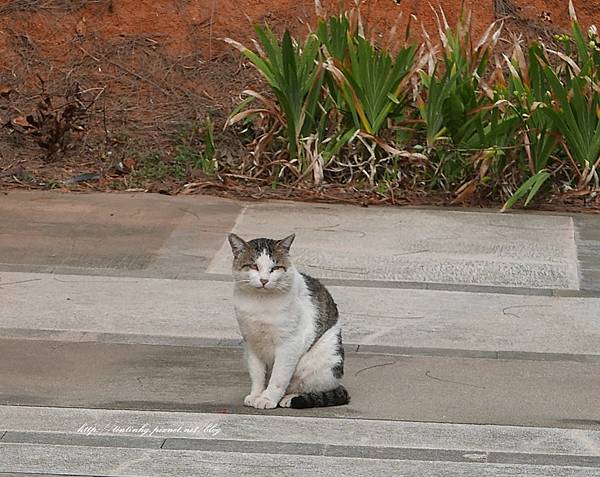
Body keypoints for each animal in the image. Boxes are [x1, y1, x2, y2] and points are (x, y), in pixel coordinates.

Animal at [227, 232, 350, 408]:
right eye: (253, 266)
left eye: (275, 268)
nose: (264, 280)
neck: (260, 301)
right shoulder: (251, 343)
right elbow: (257, 374)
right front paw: (256, 394)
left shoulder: (289, 343)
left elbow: (279, 376)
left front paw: (267, 398)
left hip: (321, 362)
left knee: (312, 386)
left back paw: (290, 397)